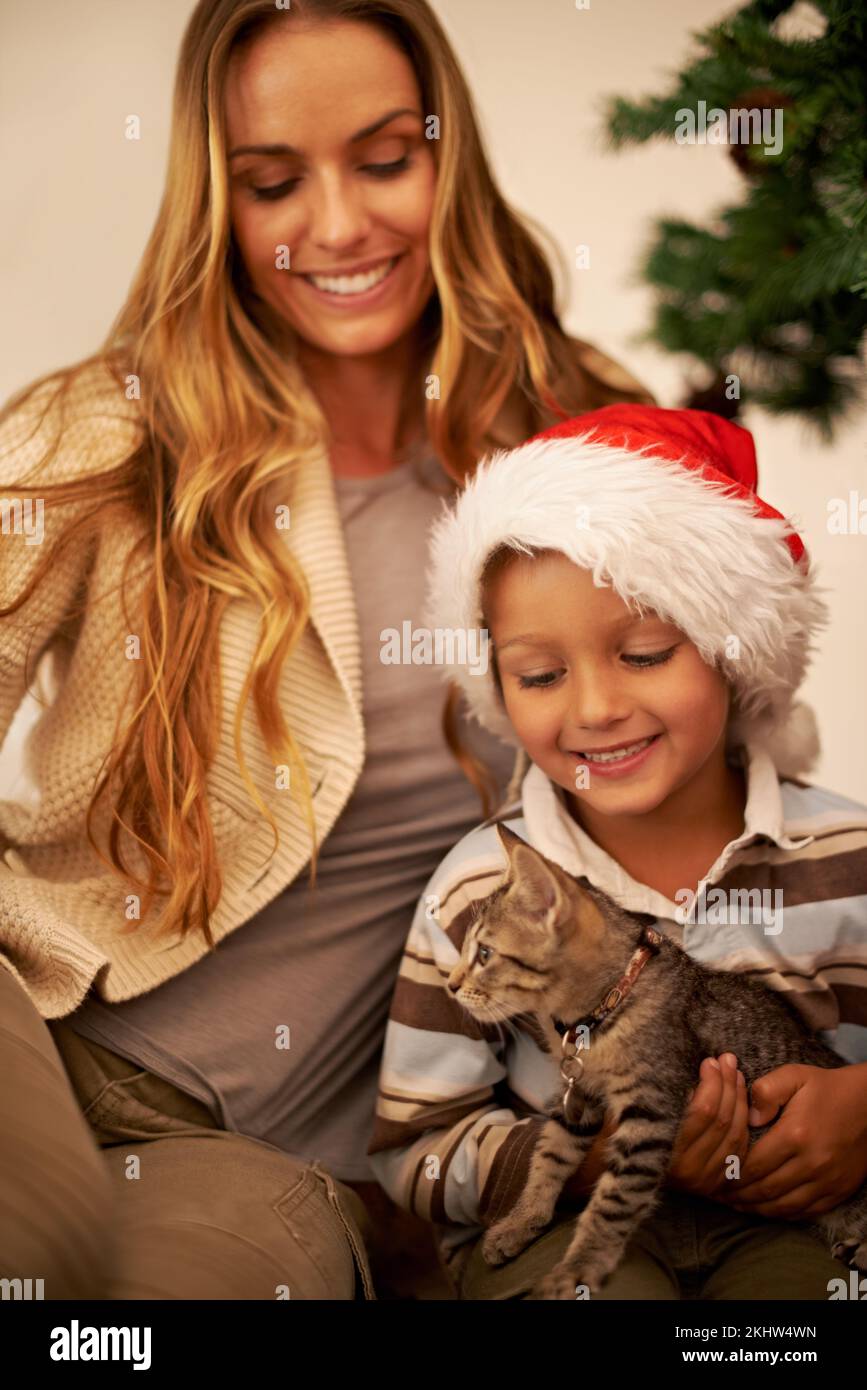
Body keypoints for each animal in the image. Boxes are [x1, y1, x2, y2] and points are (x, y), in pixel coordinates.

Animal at [447, 817, 867, 1295]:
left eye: (484, 954)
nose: (451, 984)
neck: (598, 1014)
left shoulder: (649, 1114)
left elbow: (612, 1201)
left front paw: (580, 1265)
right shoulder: (579, 1101)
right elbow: (548, 1156)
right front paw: (521, 1221)